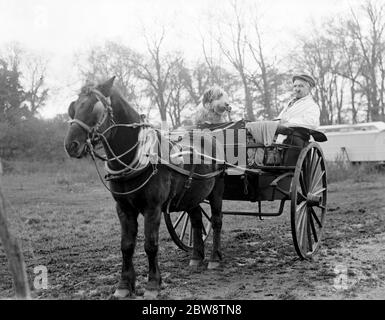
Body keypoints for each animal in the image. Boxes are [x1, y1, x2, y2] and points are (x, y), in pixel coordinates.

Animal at [63, 76, 225, 298]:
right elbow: (126, 245)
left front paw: (153, 284)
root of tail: (208, 133)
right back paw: (196, 258)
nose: (71, 145)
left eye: (94, 109)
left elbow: (150, 244)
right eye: (74, 108)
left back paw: (215, 259)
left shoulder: (152, 208)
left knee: (216, 221)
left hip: (217, 190)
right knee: (197, 220)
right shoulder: (123, 208)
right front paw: (124, 285)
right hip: (192, 196)